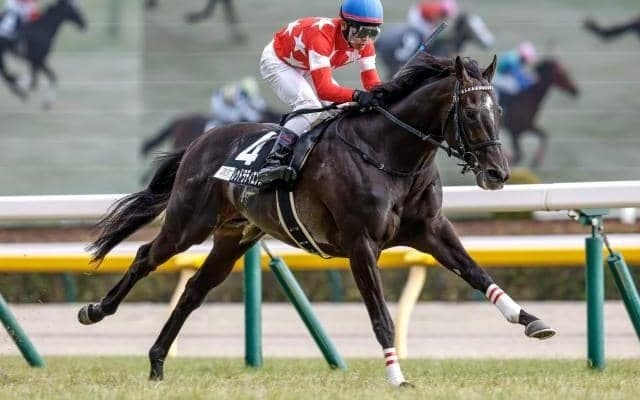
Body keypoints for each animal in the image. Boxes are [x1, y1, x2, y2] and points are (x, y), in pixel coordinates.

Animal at [77, 54, 555, 387]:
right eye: (471, 112)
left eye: (499, 112)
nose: (498, 174)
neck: (389, 155)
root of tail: (202, 139)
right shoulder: (361, 242)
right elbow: (380, 314)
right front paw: (397, 376)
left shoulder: (431, 230)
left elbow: (478, 273)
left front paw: (531, 320)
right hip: (188, 223)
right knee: (145, 256)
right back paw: (96, 310)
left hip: (234, 236)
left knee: (194, 290)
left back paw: (157, 362)